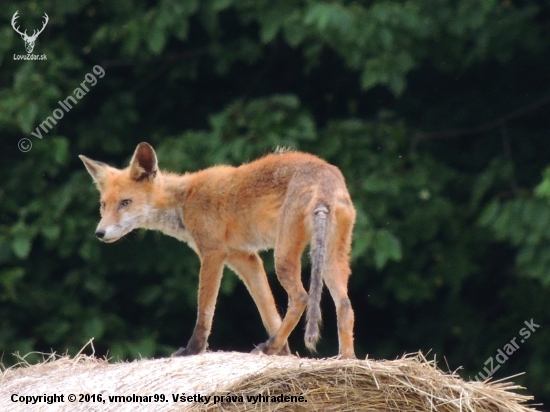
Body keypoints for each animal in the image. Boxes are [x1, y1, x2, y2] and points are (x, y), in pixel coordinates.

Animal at [81, 143, 358, 358]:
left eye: (125, 203)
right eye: (103, 205)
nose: (99, 233)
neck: (183, 201)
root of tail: (326, 176)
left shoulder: (212, 253)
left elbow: (204, 311)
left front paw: (193, 349)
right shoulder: (245, 258)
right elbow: (269, 312)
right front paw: (284, 353)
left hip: (283, 255)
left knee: (301, 297)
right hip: (331, 259)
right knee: (344, 304)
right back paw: (345, 359)